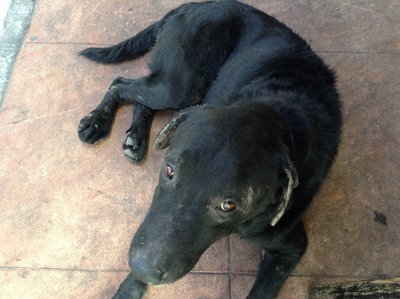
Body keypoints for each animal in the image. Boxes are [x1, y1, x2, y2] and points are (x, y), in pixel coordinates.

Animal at [77, 1, 340, 298]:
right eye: (169, 170)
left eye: (229, 204)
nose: (143, 269)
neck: (276, 109)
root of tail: (196, 4)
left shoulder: (288, 249)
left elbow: (261, 291)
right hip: (178, 86)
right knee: (121, 84)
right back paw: (97, 123)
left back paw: (135, 137)